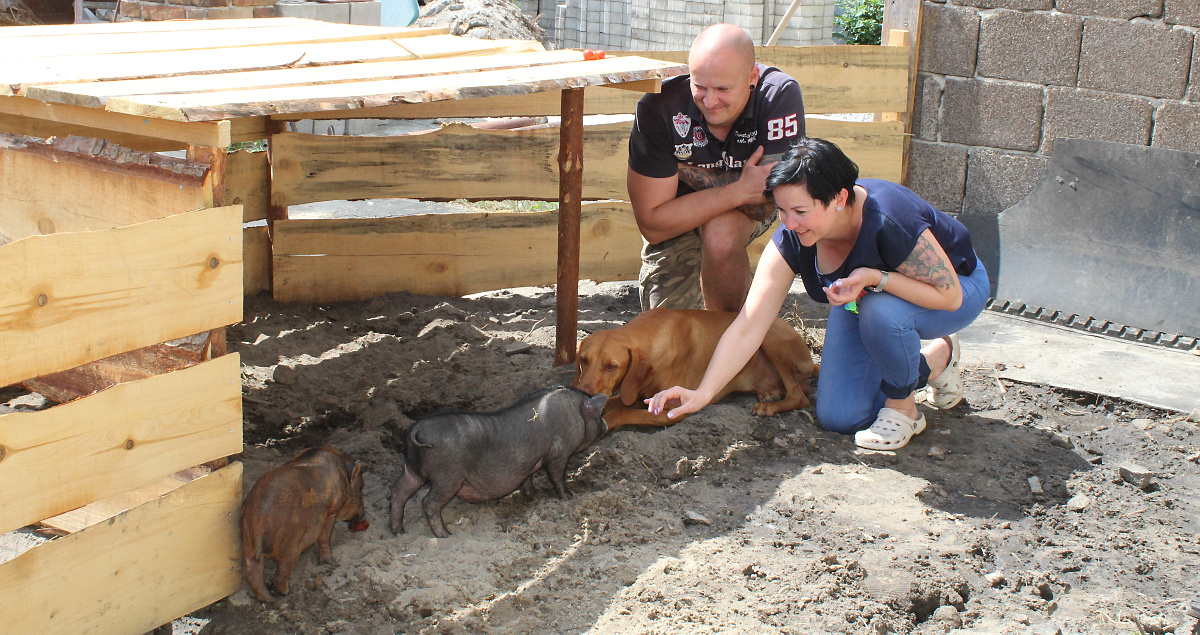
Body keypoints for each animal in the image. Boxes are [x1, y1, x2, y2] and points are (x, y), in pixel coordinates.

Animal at [238, 444, 360, 602]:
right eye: (361, 487)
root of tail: (260, 516)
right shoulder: (332, 512)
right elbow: (325, 537)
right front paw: (333, 562)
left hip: (247, 541)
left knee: (252, 573)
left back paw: (269, 599)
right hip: (290, 546)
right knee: (280, 574)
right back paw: (286, 592)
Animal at [386, 384, 604, 537]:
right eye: (598, 415)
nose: (605, 424)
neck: (576, 410)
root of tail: (416, 429)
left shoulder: (530, 461)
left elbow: (528, 478)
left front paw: (531, 496)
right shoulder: (559, 455)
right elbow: (557, 477)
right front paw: (569, 497)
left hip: (411, 470)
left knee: (398, 492)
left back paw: (399, 532)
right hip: (447, 477)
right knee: (428, 502)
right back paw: (445, 534)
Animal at [571, 306, 816, 424]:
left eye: (612, 366)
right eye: (584, 360)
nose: (583, 393)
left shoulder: (672, 410)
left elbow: (620, 414)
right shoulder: (634, 393)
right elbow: (615, 404)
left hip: (769, 336)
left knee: (799, 395)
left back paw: (770, 405)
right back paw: (769, 394)